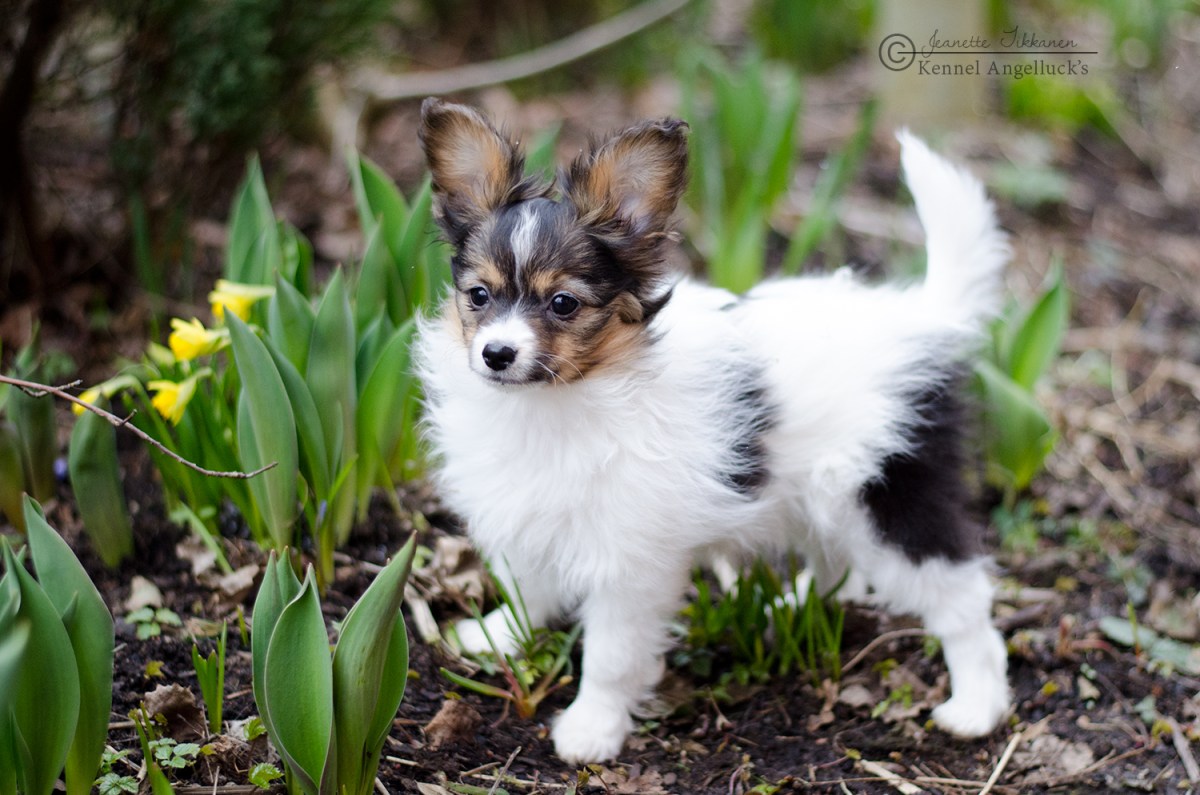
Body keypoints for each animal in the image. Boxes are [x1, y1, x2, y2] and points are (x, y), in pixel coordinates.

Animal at [415, 98, 1011, 764]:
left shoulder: (629, 562)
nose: (497, 353)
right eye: (478, 295)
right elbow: (526, 588)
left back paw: (977, 706)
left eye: (563, 304)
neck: (559, 402)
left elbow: (611, 655)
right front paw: (495, 635)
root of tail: (925, 316)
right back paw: (795, 601)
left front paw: (592, 728)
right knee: (836, 562)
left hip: (887, 499)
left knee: (962, 600)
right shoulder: (528, 511)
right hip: (825, 499)